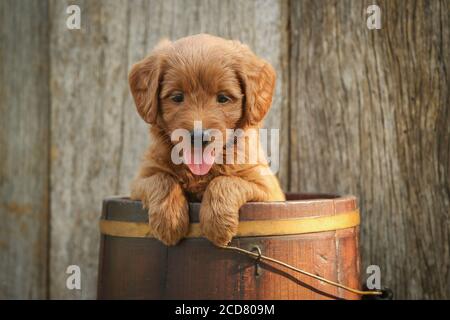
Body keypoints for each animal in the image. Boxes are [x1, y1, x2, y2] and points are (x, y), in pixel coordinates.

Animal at [128, 33, 284, 246]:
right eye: (177, 97)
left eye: (223, 98)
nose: (198, 137)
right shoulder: (138, 183)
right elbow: (162, 179)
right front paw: (170, 221)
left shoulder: (268, 188)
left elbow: (224, 181)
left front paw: (217, 225)